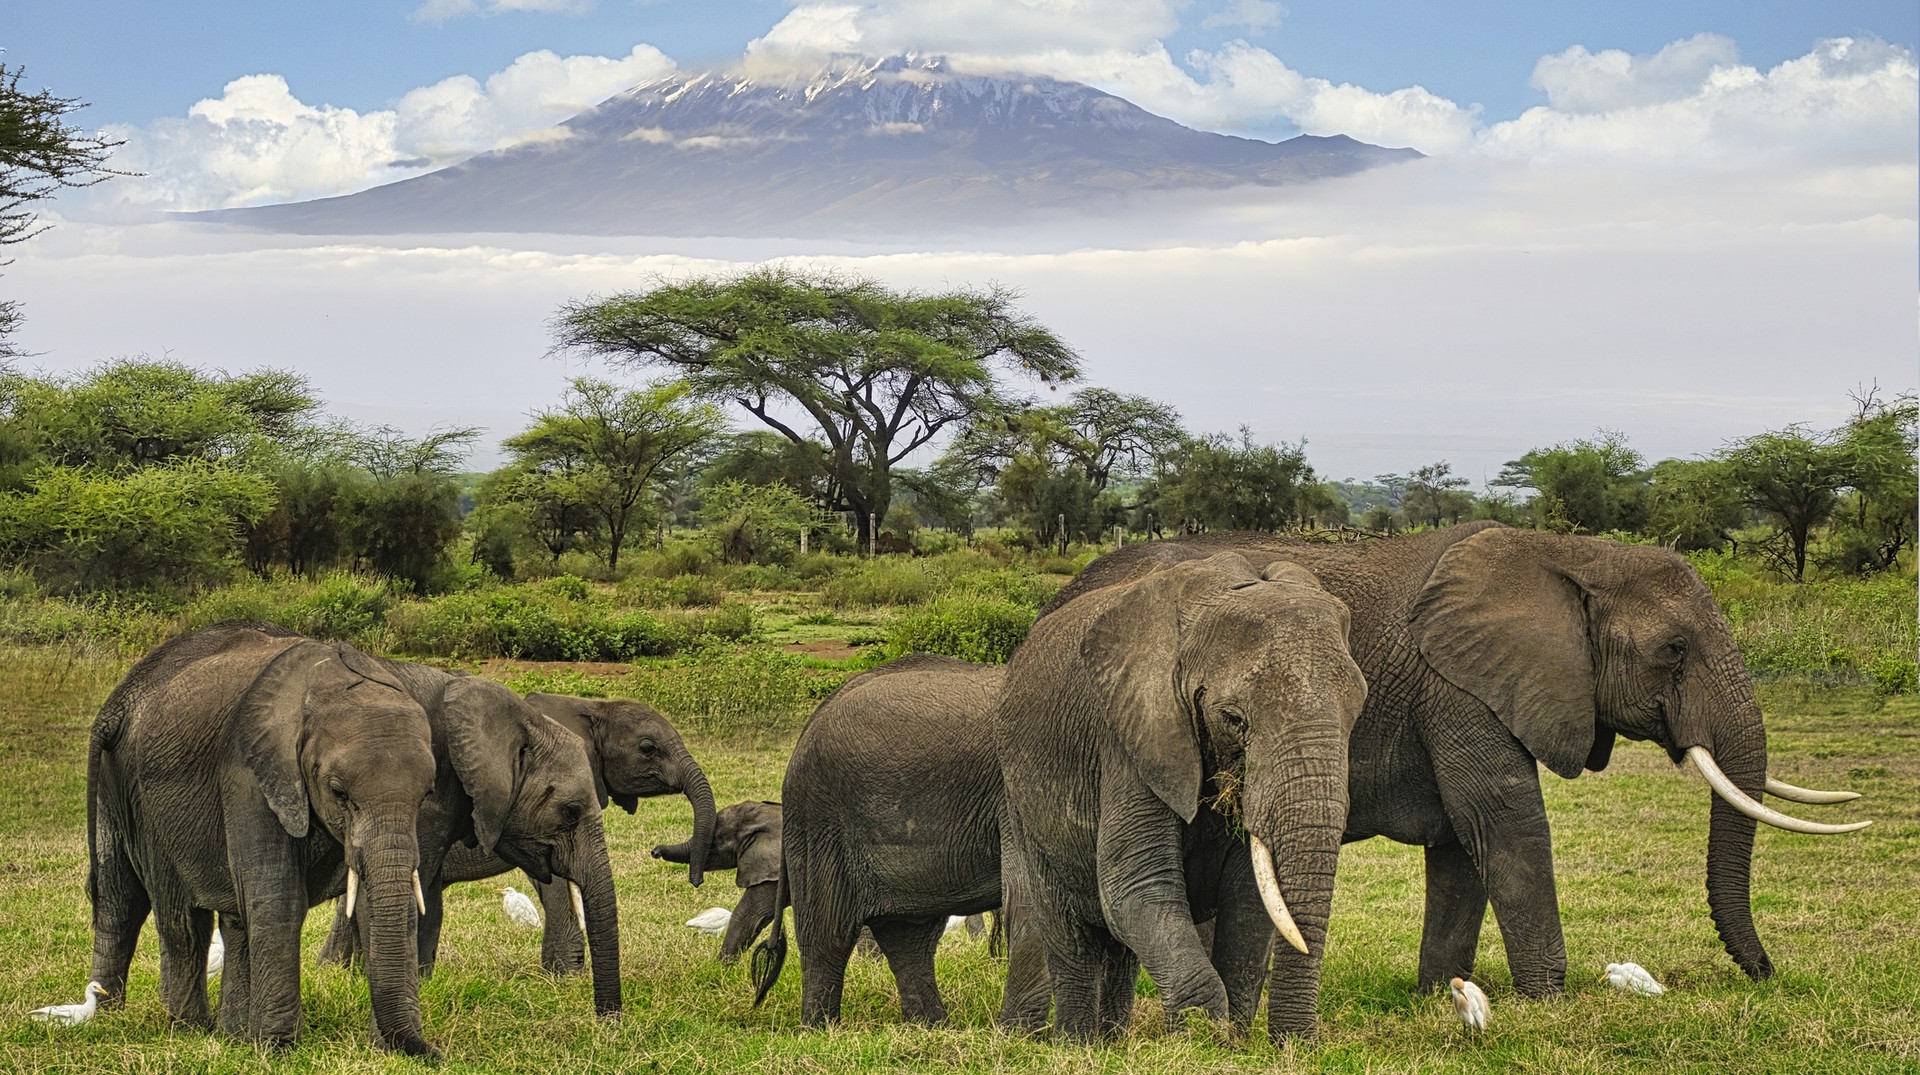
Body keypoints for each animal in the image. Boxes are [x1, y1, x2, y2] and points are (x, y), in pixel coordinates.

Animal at [85, 622, 442, 1055]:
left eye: (426, 794)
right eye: (339, 792)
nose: (432, 1053)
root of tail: (120, 698)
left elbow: (383, 901)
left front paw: (389, 1048)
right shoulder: (249, 771)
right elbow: (277, 895)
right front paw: (277, 1048)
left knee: (231, 919)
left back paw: (230, 1035)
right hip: (132, 790)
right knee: (147, 906)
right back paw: (164, 1023)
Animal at [997, 553, 1367, 1042]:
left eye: (1357, 710)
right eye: (1233, 718)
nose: (1297, 1046)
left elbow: (1249, 903)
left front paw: (1234, 1040)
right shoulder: (1130, 737)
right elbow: (1135, 887)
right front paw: (1200, 1036)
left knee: (1118, 952)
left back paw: (1112, 1041)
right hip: (1021, 800)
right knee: (1069, 935)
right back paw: (1078, 1043)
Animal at [1044, 522, 1870, 999]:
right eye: (1673, 650)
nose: (1766, 974)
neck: (1574, 555)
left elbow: (1461, 844)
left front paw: (1440, 995)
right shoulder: (1461, 688)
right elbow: (1503, 819)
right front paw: (1549, 1000)